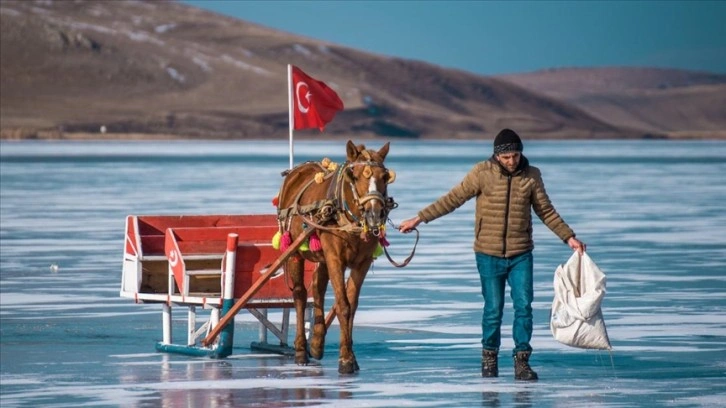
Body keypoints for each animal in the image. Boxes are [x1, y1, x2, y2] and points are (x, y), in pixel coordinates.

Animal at [274, 139, 398, 372]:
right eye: (355, 176)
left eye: (385, 177)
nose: (374, 214)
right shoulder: (335, 257)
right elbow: (343, 305)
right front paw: (346, 359)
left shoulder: (362, 262)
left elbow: (352, 304)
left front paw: (348, 354)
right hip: (295, 250)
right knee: (300, 294)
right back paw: (301, 350)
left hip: (321, 256)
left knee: (317, 287)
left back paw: (316, 343)